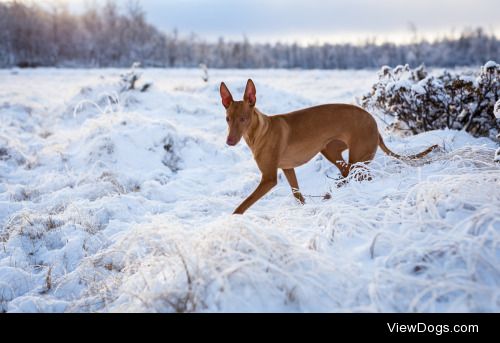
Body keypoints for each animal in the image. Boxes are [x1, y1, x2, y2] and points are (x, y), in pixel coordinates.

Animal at [221, 80, 436, 215]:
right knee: (345, 173)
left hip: (358, 160)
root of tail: (373, 122)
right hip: (331, 151)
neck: (260, 131)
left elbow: (243, 205)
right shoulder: (288, 168)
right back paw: (332, 193)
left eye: (244, 119)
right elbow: (298, 195)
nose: (229, 141)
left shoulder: (269, 178)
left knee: (360, 176)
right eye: (228, 119)